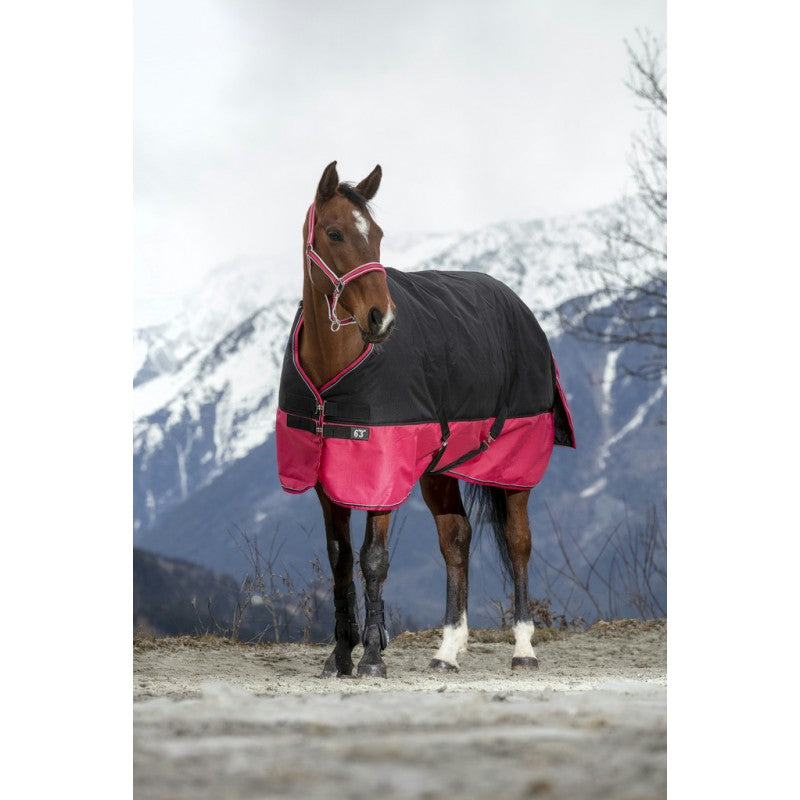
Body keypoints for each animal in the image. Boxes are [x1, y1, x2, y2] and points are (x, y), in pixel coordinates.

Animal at [276, 161, 575, 677]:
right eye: (334, 233)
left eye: (377, 234)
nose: (382, 319)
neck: (333, 371)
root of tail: (520, 304)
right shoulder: (326, 479)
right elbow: (340, 559)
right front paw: (340, 654)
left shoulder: (382, 475)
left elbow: (373, 559)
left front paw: (372, 657)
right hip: (440, 469)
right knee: (456, 539)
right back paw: (448, 651)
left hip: (516, 466)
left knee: (518, 542)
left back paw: (523, 648)